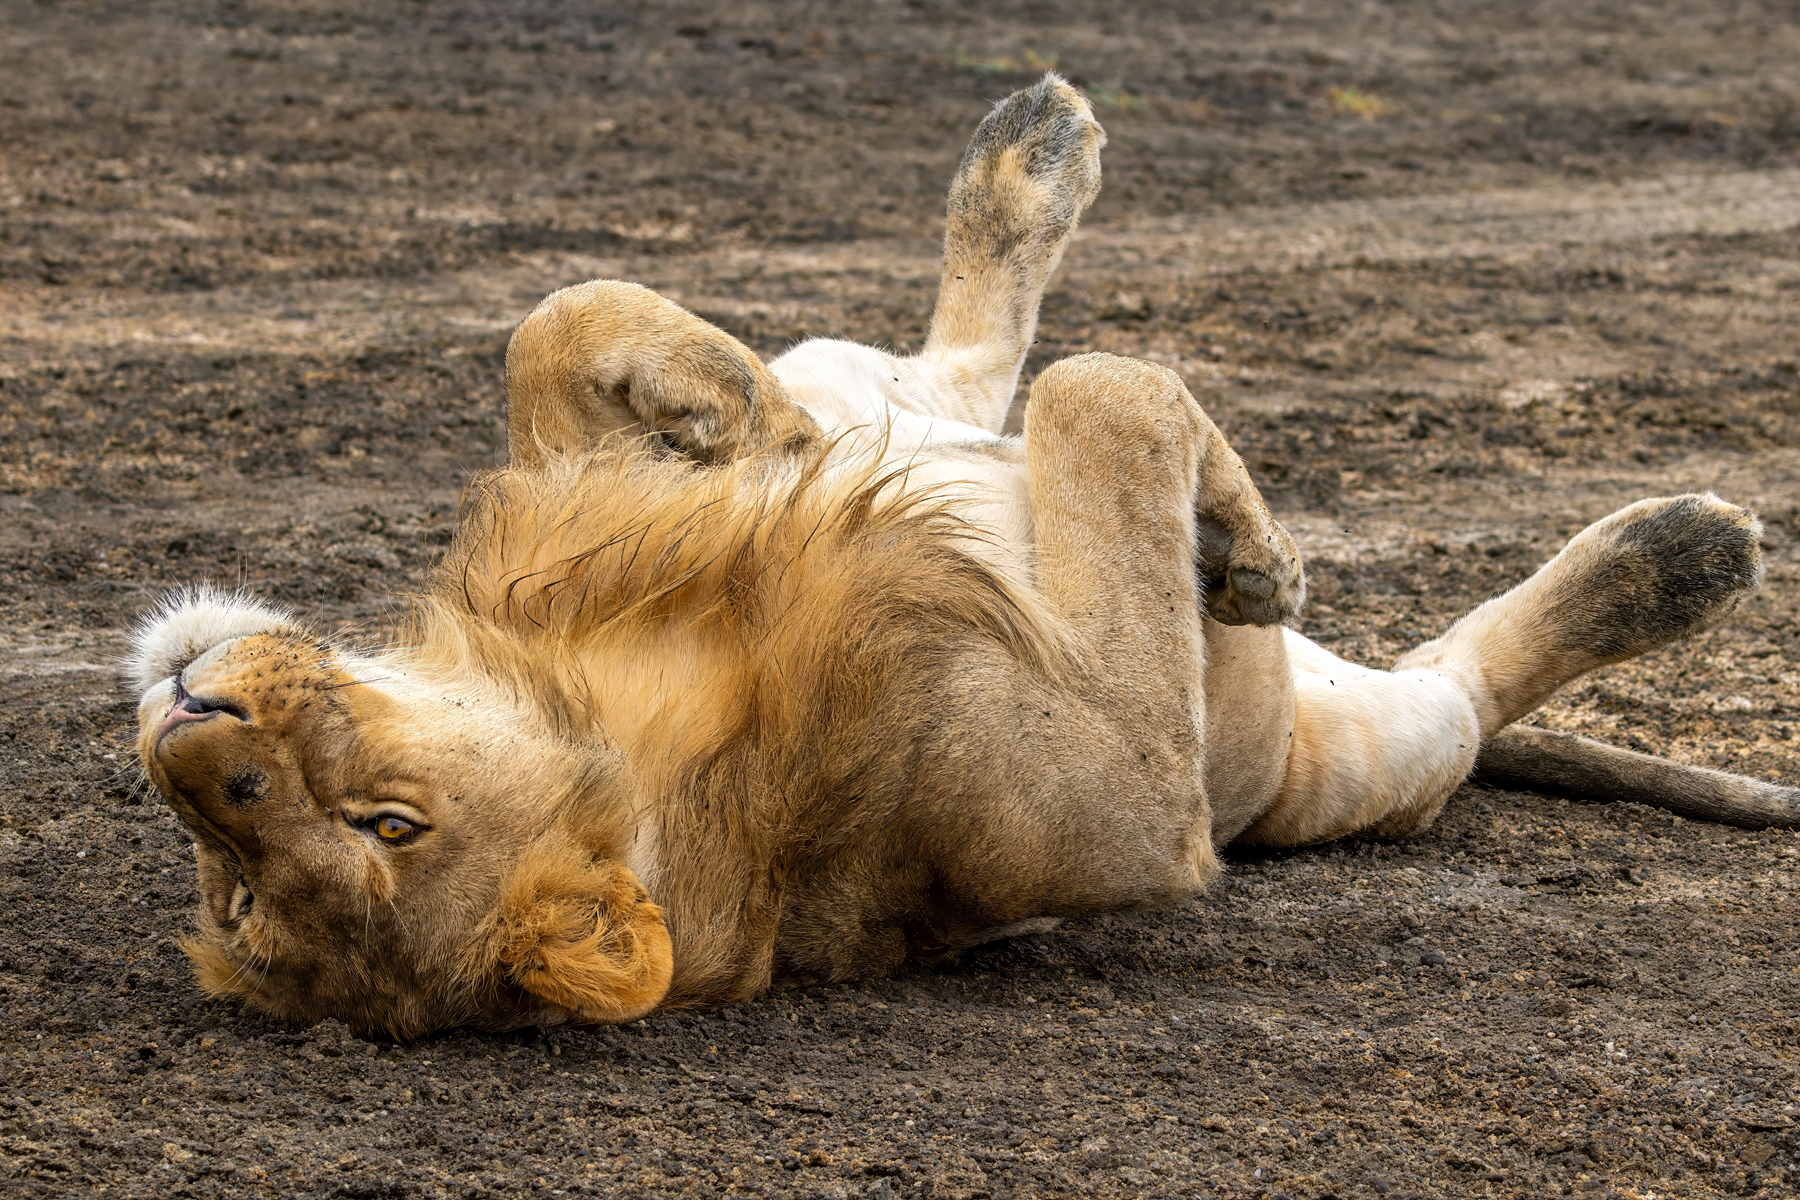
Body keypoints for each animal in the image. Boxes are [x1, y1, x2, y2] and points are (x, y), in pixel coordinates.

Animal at [130, 76, 1797, 1038]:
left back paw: (998, 179)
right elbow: (1108, 395)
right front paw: (1243, 551)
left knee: (937, 367)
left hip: (876, 387)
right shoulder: (1127, 799)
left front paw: (729, 413)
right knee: (1459, 673)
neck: (627, 676)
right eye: (243, 881)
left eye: (390, 824)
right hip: (1363, 754)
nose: (189, 728)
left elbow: (560, 319)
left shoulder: (589, 501)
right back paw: (1682, 553)